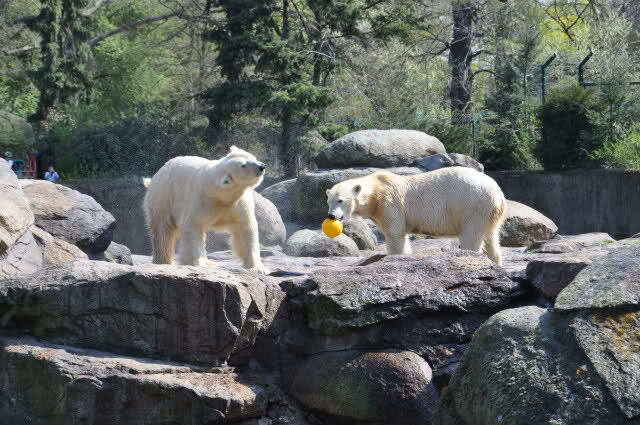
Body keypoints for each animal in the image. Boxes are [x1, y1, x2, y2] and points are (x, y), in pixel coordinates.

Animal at [143, 146, 269, 274]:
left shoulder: (238, 203)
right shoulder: (201, 200)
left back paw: (209, 262)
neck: (221, 195)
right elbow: (193, 227)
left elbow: (245, 229)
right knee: (162, 229)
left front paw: (258, 268)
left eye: (251, 156)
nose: (261, 166)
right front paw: (197, 263)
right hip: (163, 197)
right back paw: (164, 260)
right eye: (243, 165)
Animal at [326, 167, 506, 264]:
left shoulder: (390, 203)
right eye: (328, 201)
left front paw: (395, 257)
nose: (331, 216)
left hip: (472, 205)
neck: (377, 190)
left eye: (340, 200)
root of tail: (498, 193)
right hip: (488, 213)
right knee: (491, 237)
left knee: (471, 236)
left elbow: (395, 234)